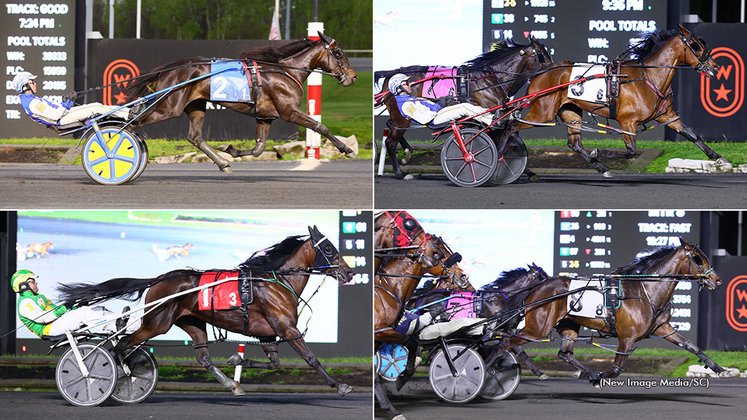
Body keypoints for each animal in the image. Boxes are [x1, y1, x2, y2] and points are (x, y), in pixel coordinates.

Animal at [58, 226, 356, 398]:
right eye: (328, 248)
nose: (350, 272)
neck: (276, 281)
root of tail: (160, 279)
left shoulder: (268, 333)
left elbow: (274, 363)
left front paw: (237, 363)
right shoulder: (286, 328)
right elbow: (311, 358)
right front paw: (340, 385)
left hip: (192, 322)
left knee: (202, 357)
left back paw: (229, 384)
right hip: (156, 323)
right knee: (120, 345)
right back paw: (111, 376)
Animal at [125, 32, 360, 174]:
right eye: (338, 53)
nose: (354, 77)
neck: (285, 71)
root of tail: (168, 67)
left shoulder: (265, 117)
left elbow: (258, 148)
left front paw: (230, 149)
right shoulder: (289, 112)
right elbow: (320, 126)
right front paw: (347, 149)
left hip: (195, 106)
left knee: (195, 137)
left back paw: (223, 164)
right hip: (169, 107)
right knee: (133, 125)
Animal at [376, 36, 552, 179]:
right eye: (543, 54)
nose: (554, 69)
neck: (491, 80)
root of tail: (392, 74)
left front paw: (525, 170)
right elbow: (504, 135)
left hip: (397, 117)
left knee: (390, 126)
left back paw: (407, 153)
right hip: (401, 117)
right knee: (390, 142)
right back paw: (400, 173)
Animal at [482, 236, 728, 384]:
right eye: (698, 259)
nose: (717, 280)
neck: (645, 290)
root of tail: (538, 288)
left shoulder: (661, 327)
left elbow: (691, 346)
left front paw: (719, 368)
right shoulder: (627, 336)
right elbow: (617, 368)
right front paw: (598, 376)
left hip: (568, 324)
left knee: (564, 353)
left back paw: (585, 371)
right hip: (537, 328)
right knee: (506, 342)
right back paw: (486, 369)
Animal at [494, 25, 728, 177]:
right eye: (696, 45)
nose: (715, 66)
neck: (649, 77)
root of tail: (542, 71)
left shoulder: (666, 115)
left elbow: (691, 134)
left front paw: (718, 157)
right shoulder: (627, 121)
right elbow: (631, 151)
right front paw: (601, 151)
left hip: (570, 110)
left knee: (574, 143)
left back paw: (602, 169)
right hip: (542, 113)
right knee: (511, 126)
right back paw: (497, 159)